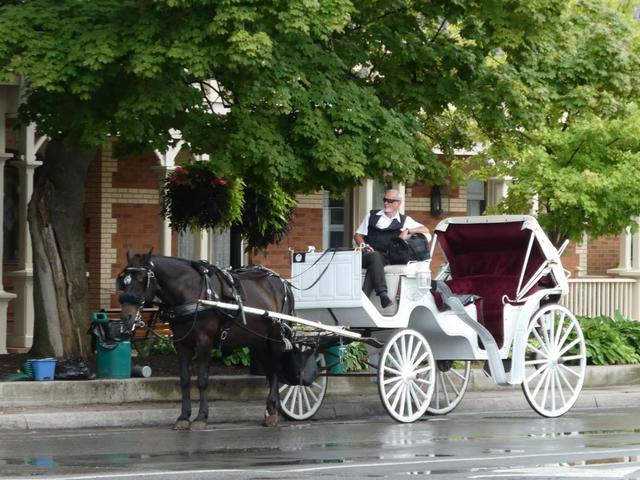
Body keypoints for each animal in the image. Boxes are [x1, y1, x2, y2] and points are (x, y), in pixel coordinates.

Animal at [116, 249, 294, 430]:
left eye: (141, 279)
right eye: (124, 281)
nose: (126, 316)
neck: (191, 293)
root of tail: (282, 282)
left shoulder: (204, 342)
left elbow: (202, 379)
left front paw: (201, 416)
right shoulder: (181, 344)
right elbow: (185, 380)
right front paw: (183, 416)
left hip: (276, 337)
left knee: (276, 370)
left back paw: (273, 410)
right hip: (260, 340)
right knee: (270, 372)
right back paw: (272, 410)